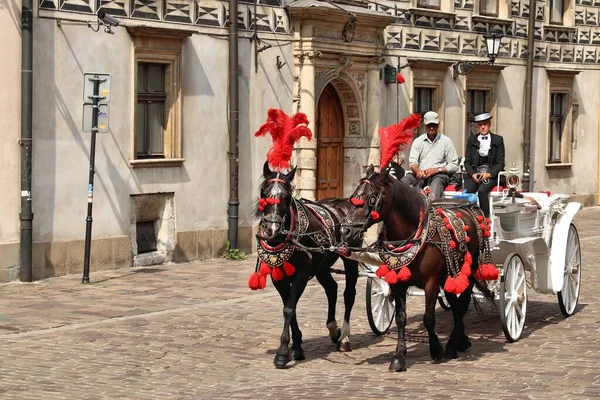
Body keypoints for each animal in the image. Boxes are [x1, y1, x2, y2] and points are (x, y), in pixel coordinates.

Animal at [253, 161, 360, 368]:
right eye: (264, 191)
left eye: (287, 196)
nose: (271, 229)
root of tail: (343, 202)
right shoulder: (278, 277)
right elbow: (290, 307)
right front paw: (296, 347)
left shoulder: (301, 274)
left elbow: (289, 308)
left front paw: (282, 353)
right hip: (322, 265)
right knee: (331, 288)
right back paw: (333, 329)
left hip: (351, 257)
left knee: (349, 294)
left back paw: (344, 338)